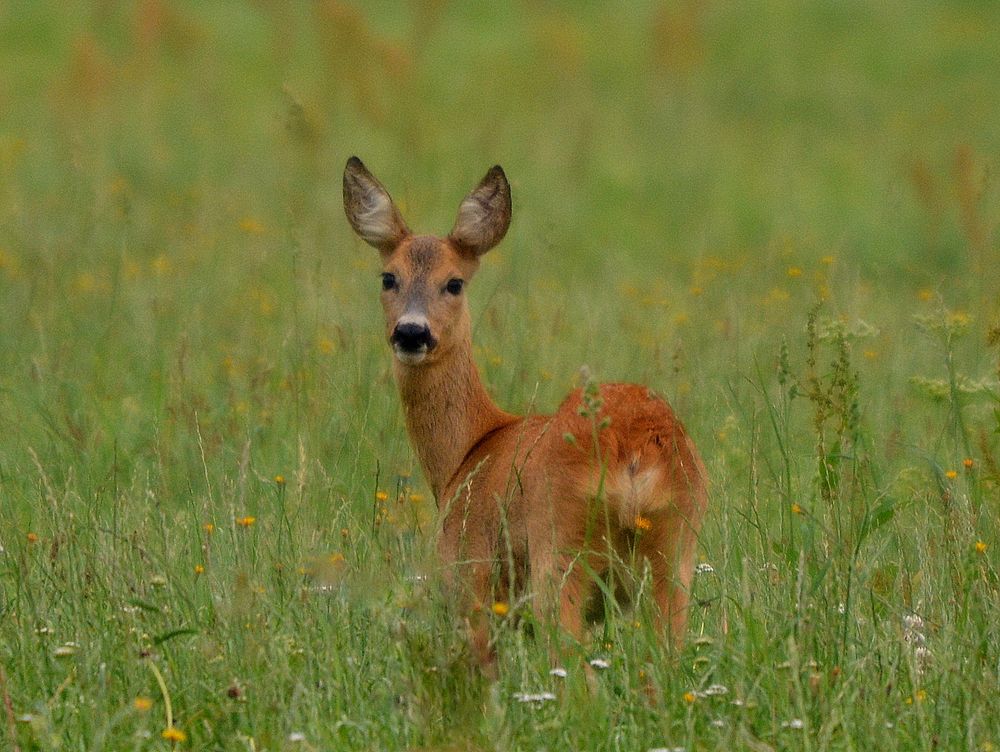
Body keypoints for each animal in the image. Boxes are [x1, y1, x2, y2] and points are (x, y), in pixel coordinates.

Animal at [346, 157, 712, 668]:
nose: (412, 332)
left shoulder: (470, 578)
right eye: (388, 278)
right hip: (676, 549)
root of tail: (634, 450)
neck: (467, 453)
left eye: (453, 282)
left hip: (558, 549)